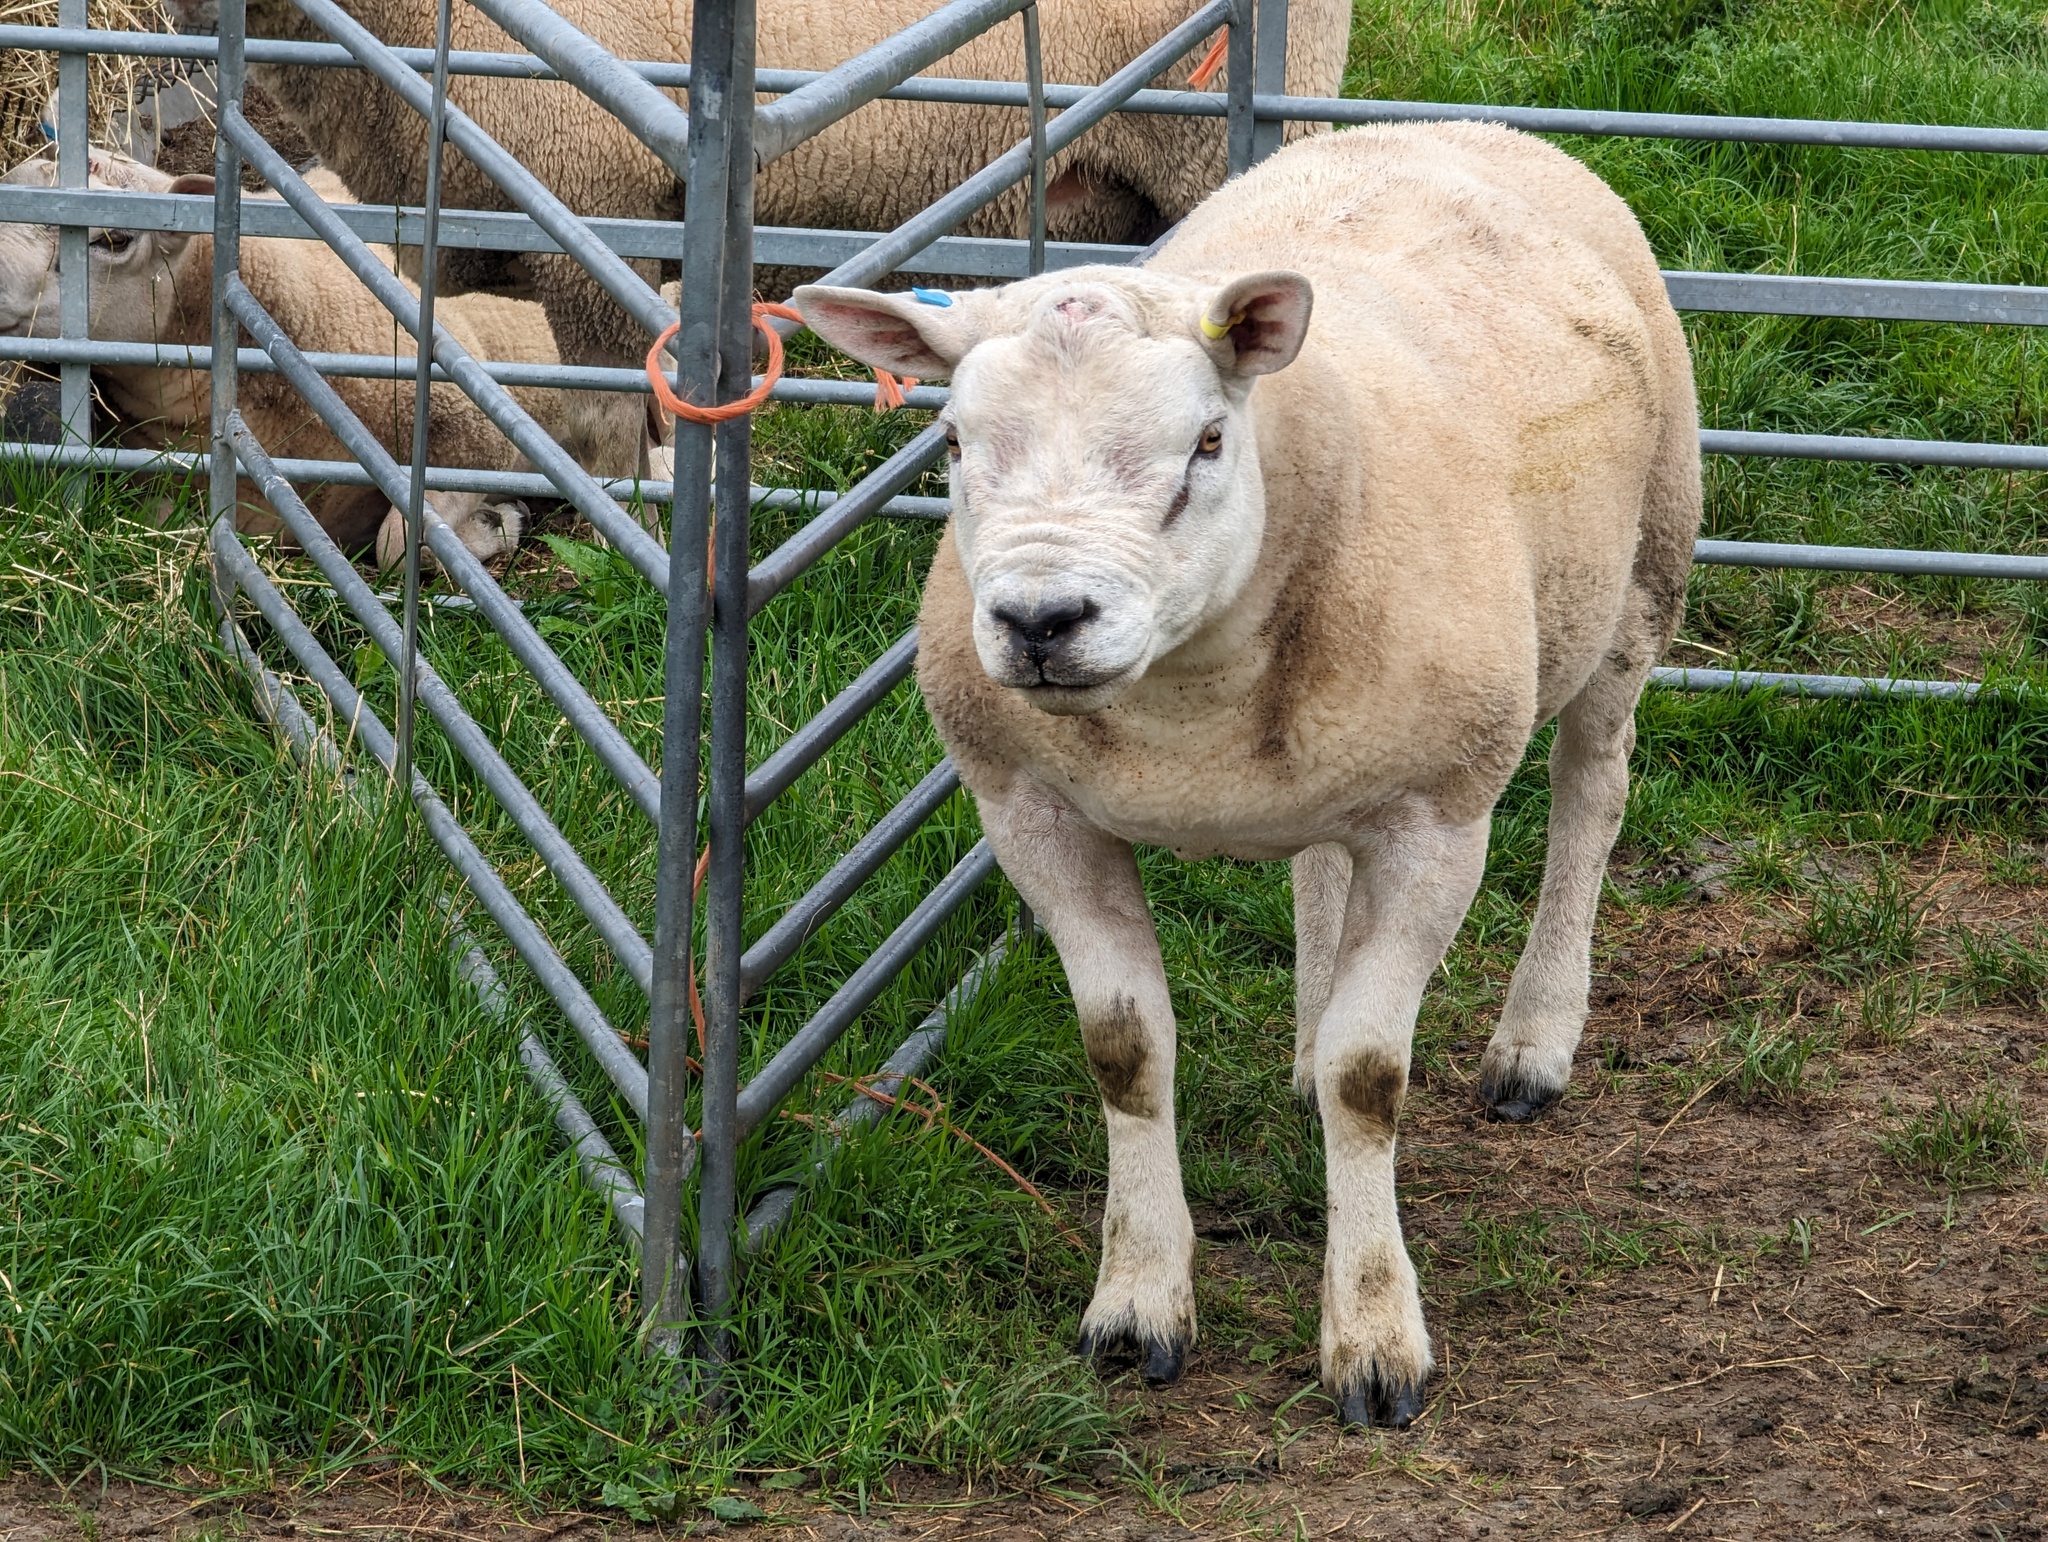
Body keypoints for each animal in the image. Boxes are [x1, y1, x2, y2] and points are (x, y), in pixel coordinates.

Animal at [790, 123, 1703, 1433]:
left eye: (1206, 443)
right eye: (954, 443)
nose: (1038, 623)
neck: (1186, 701)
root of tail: (1438, 124)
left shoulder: (1437, 821)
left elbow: (1372, 1079)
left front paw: (1373, 1339)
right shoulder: (1030, 814)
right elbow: (1122, 1051)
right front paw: (1136, 1302)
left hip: (1641, 576)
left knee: (1593, 792)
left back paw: (1533, 1041)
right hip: (1342, 745)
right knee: (1320, 859)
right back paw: (1308, 1038)